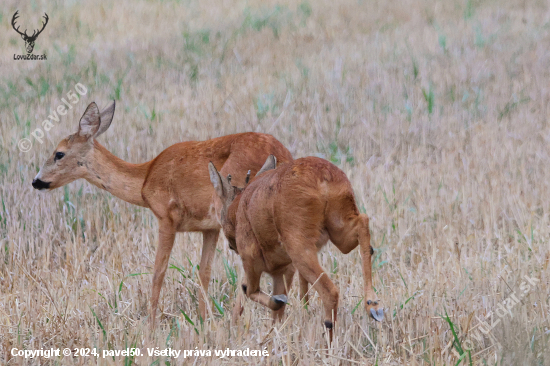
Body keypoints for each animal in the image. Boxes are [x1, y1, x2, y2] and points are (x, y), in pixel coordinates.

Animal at [31, 100, 294, 324]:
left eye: (59, 153)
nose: (36, 181)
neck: (145, 179)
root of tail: (282, 156)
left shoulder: (167, 217)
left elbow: (158, 272)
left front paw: (151, 325)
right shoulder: (210, 227)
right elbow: (204, 273)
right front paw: (202, 322)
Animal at [209, 154, 386, 340]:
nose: (231, 245)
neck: (239, 207)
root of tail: (324, 176)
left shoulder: (252, 259)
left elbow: (249, 290)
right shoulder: (282, 271)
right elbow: (274, 313)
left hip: (299, 247)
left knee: (330, 291)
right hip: (339, 231)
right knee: (363, 222)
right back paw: (374, 306)